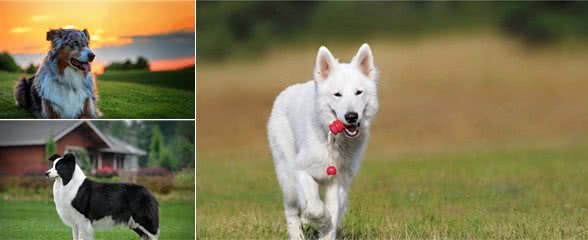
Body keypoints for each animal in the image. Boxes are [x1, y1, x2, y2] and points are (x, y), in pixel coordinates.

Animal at [268, 44, 378, 239]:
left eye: (358, 92)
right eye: (337, 94)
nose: (351, 116)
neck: (332, 140)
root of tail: (284, 93)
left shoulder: (337, 182)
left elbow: (331, 213)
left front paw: (325, 227)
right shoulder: (301, 171)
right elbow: (316, 207)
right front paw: (318, 220)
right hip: (287, 178)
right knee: (291, 211)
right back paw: (298, 233)